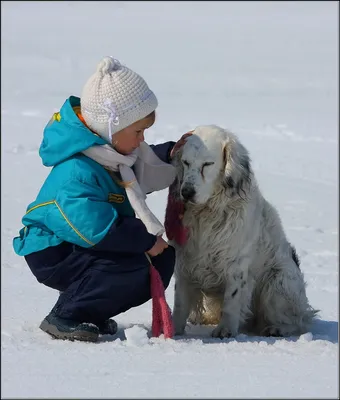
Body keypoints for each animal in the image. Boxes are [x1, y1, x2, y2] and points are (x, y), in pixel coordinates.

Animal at [167, 125, 318, 338]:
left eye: (207, 164)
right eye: (185, 162)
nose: (186, 192)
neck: (207, 214)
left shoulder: (236, 264)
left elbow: (232, 301)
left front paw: (225, 330)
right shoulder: (184, 261)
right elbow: (180, 301)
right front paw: (173, 329)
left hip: (278, 281)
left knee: (298, 321)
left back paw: (276, 328)